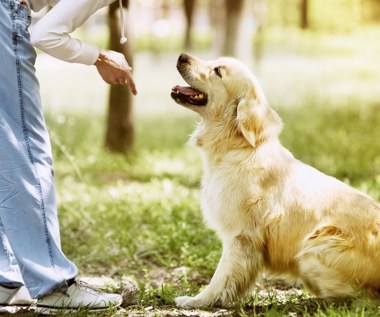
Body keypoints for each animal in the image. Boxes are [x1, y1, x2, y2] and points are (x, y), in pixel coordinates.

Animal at [171, 53, 380, 308]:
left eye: (218, 71)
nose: (182, 56)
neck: (237, 147)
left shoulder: (241, 235)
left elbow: (221, 277)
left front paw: (198, 300)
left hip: (313, 249)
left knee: (362, 298)